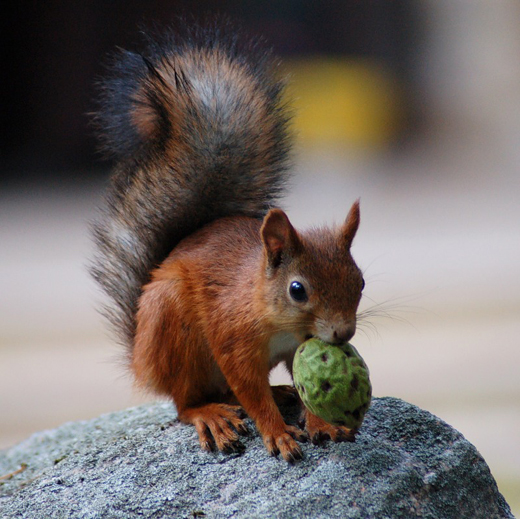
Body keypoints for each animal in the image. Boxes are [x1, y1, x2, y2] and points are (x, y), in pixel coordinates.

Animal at [91, 23, 364, 464]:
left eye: (360, 283)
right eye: (297, 289)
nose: (343, 334)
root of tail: (140, 357)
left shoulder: (298, 347)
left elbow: (302, 385)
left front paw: (320, 421)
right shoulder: (232, 337)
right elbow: (249, 391)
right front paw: (277, 433)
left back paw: (277, 393)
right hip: (175, 335)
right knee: (185, 402)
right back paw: (211, 415)